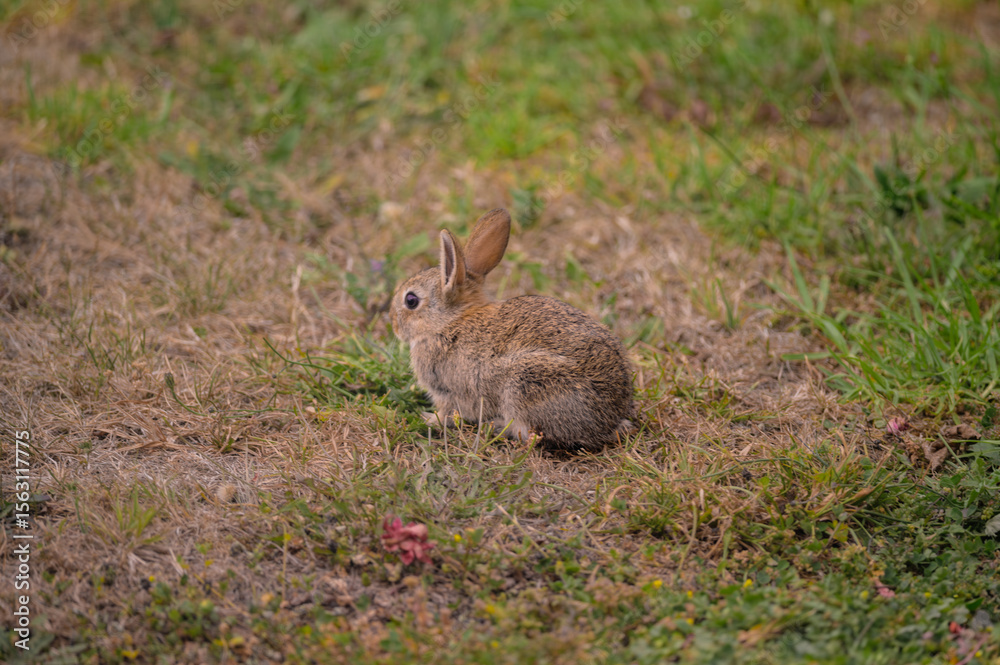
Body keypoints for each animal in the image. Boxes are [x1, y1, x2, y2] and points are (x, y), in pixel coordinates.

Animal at [390, 208, 635, 452]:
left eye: (411, 300)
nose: (393, 324)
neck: (449, 321)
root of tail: (610, 419)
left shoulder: (448, 390)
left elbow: (449, 413)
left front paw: (429, 419)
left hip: (526, 383)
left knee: (531, 434)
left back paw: (497, 427)